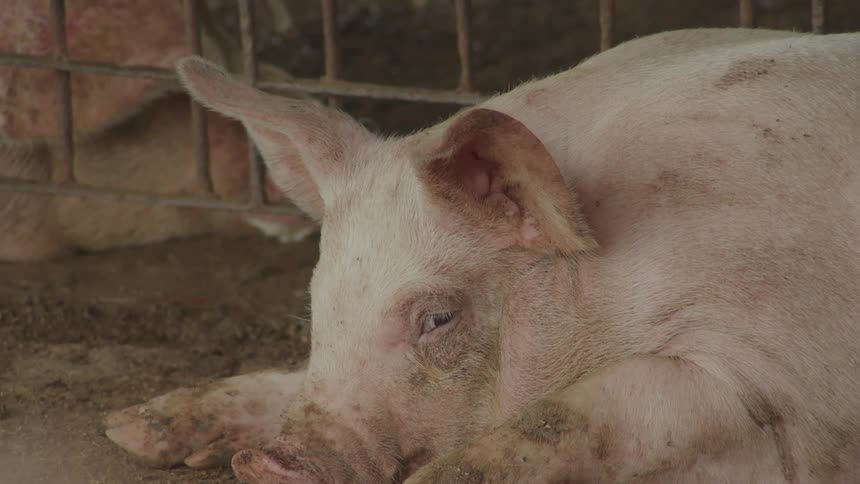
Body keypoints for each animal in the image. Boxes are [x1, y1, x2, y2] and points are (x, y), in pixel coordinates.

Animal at [104, 28, 860, 483]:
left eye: (438, 318)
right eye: (319, 307)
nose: (269, 461)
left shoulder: (778, 373)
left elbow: (569, 416)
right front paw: (129, 431)